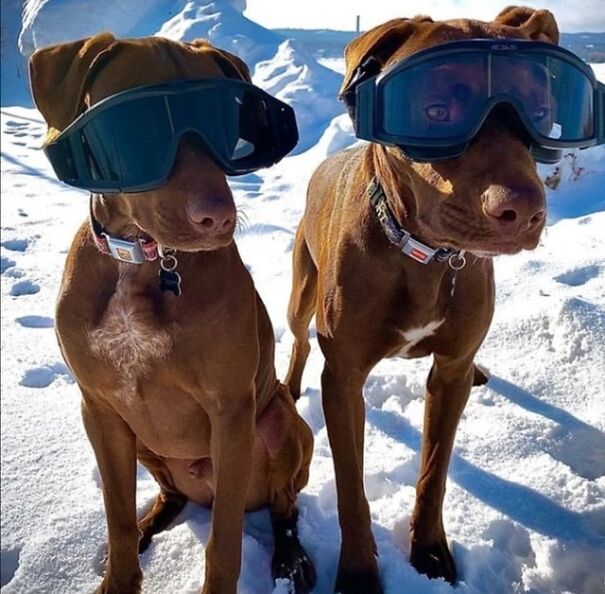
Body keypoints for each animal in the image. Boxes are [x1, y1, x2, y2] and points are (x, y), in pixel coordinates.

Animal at [30, 34, 316, 592]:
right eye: (138, 126)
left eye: (224, 121)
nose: (218, 218)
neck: (141, 260)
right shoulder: (99, 408)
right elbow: (116, 519)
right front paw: (119, 576)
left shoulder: (230, 411)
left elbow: (223, 544)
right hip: (143, 441)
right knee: (170, 496)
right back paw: (151, 523)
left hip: (280, 425)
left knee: (282, 505)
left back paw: (291, 558)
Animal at [284, 5, 580, 592]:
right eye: (435, 111)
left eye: (541, 112)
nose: (522, 210)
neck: (424, 256)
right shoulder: (344, 378)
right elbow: (351, 488)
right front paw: (358, 572)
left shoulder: (449, 374)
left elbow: (434, 472)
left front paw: (430, 552)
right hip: (302, 289)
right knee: (300, 340)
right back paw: (287, 384)